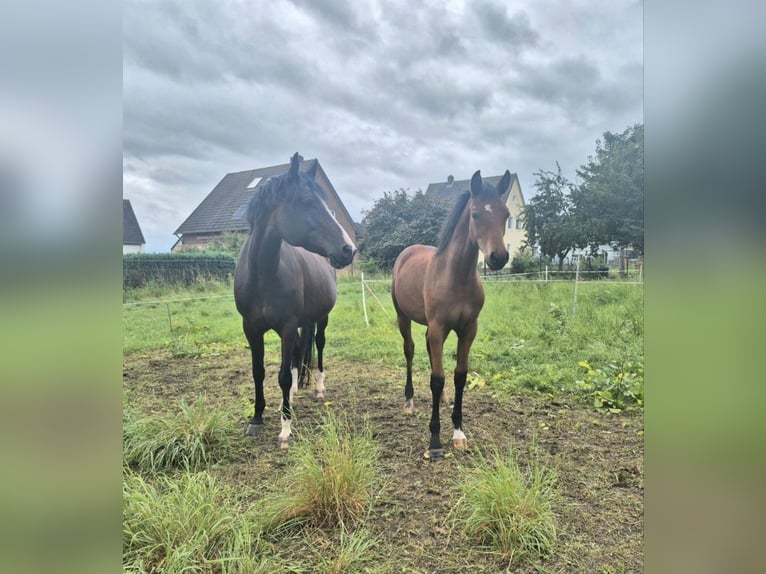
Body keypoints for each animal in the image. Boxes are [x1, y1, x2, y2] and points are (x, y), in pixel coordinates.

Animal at [234, 153, 356, 449]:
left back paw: (318, 388)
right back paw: (292, 395)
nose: (349, 249)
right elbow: (259, 372)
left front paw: (285, 429)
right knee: (300, 351)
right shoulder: (251, 329)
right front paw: (257, 419)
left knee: (318, 345)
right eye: (307, 201)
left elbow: (281, 375)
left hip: (320, 318)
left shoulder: (287, 327)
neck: (263, 274)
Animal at [391, 170, 511, 461]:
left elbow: (459, 375)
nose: (499, 257)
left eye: (506, 215)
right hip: (404, 318)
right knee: (410, 350)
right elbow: (436, 378)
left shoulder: (468, 329)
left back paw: (443, 399)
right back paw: (409, 401)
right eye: (475, 214)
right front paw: (434, 441)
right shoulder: (438, 328)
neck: (456, 276)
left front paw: (458, 432)